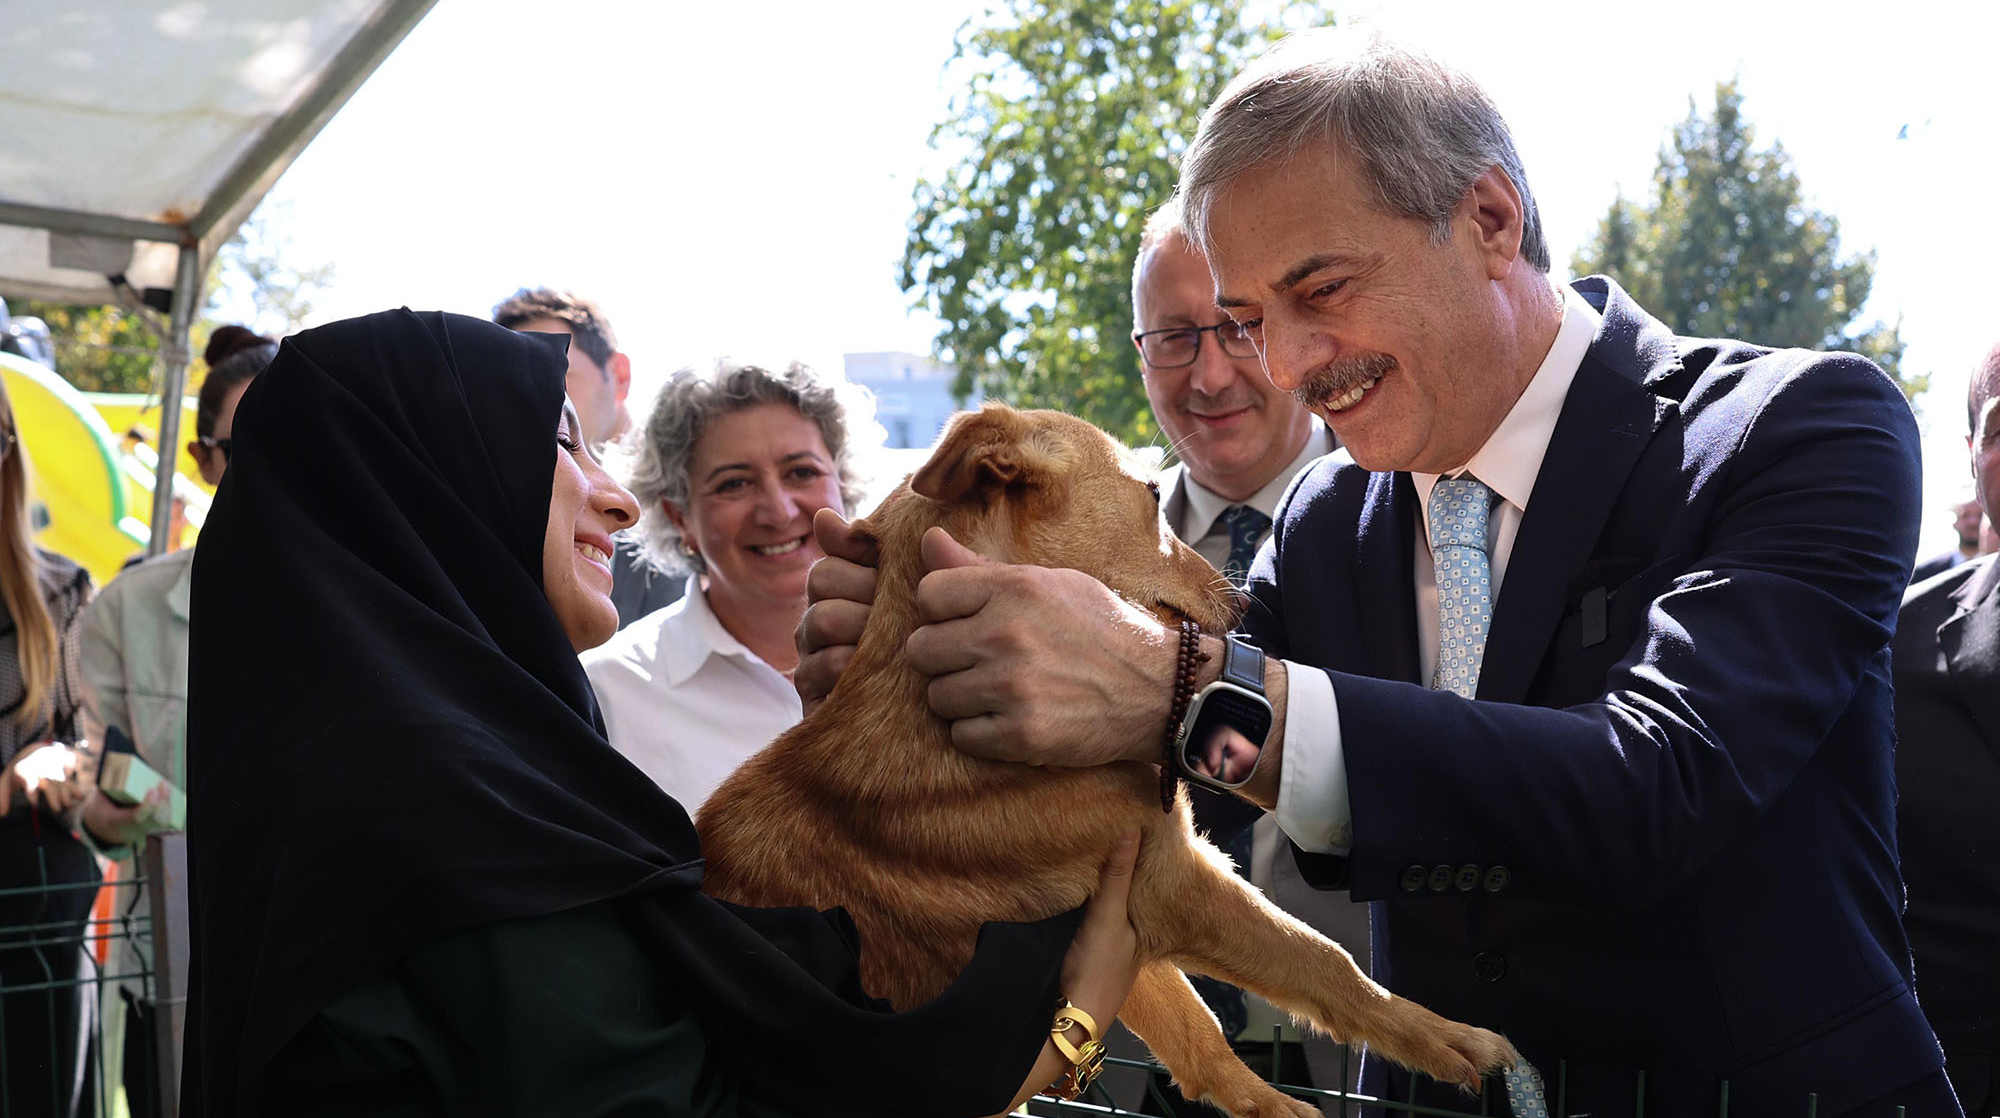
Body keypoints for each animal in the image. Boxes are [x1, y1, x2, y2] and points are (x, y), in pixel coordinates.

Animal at [700, 406, 1512, 1112]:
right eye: (1153, 497)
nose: (1247, 606)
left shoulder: (1129, 913)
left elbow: (1198, 1033)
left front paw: (1274, 1108)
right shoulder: (1169, 883)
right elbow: (1322, 961)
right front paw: (1448, 1039)